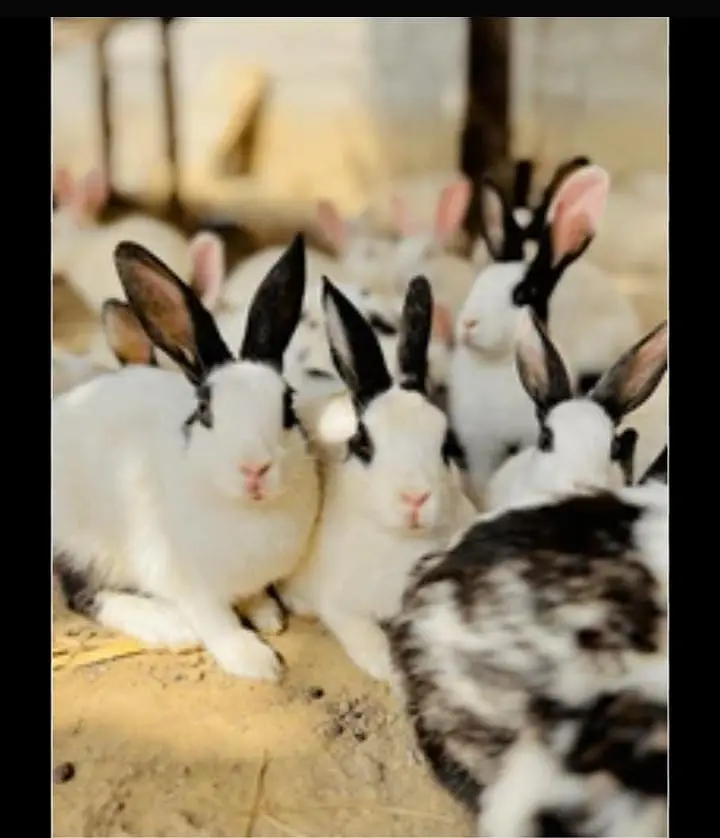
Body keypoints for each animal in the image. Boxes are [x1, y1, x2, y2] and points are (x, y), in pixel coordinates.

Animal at [52, 234, 321, 681]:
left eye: (288, 404)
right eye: (205, 411)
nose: (254, 469)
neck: (248, 512)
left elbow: (253, 597)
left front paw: (268, 616)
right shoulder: (189, 585)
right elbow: (217, 621)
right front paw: (257, 662)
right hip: (82, 544)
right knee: (83, 593)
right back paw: (167, 625)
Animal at [278, 275, 476, 682]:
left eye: (446, 443)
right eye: (364, 444)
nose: (415, 497)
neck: (401, 541)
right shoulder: (341, 605)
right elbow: (365, 637)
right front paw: (385, 667)